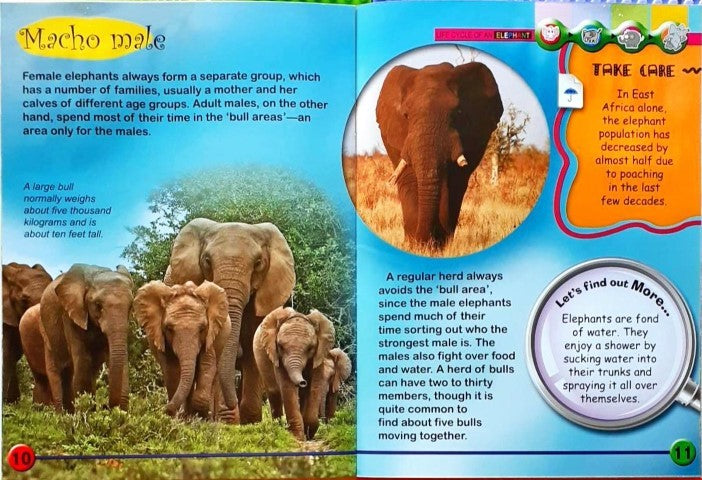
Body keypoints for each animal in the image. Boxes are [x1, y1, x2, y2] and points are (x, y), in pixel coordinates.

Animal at [40, 264, 133, 412]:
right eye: (98, 305)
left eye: (130, 306)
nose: (106, 406)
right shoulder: (70, 315)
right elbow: (82, 363)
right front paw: (87, 414)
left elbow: (122, 361)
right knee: (63, 371)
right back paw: (65, 414)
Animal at [134, 280, 231, 418]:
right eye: (169, 328)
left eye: (202, 328)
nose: (164, 409)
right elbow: (172, 370)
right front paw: (176, 418)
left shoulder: (211, 335)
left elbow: (207, 365)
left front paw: (200, 415)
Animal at [165, 218, 295, 424]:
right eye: (207, 260)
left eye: (258, 263)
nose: (232, 403)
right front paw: (226, 421)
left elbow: (251, 350)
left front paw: (249, 423)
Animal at [253, 307, 335, 440]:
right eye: (280, 346)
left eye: (310, 348)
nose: (302, 382)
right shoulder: (277, 355)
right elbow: (287, 386)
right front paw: (297, 437)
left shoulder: (319, 353)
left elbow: (315, 384)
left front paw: (309, 433)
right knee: (274, 393)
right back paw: (278, 428)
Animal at [376, 61, 504, 247]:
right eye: (406, 115)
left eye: (458, 113)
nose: (424, 241)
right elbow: (408, 179)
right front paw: (416, 245)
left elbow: (455, 182)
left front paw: (440, 244)